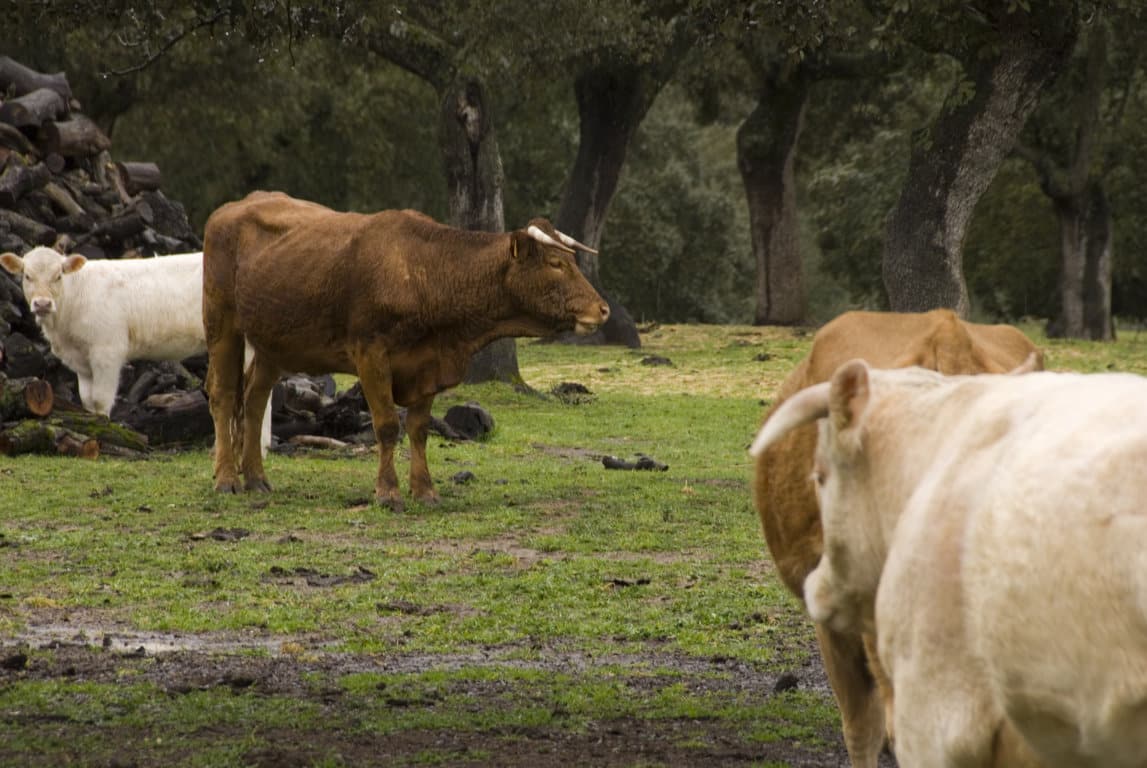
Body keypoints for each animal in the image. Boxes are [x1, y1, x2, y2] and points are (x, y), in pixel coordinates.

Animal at [2, 246, 270, 451]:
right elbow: (87, 401)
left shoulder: (107, 351)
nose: (43, 304)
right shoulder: (82, 360)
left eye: (59, 276)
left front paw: (105, 435)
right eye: (27, 276)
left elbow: (100, 399)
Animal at [203, 191, 610, 511]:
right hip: (222, 323)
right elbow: (386, 426)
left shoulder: (427, 363)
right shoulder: (370, 355)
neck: (422, 272)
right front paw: (388, 492)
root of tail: (232, 207)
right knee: (223, 396)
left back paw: (255, 477)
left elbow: (418, 429)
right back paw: (226, 478)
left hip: (272, 341)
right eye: (556, 264)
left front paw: (424, 489)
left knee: (254, 400)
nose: (603, 309)